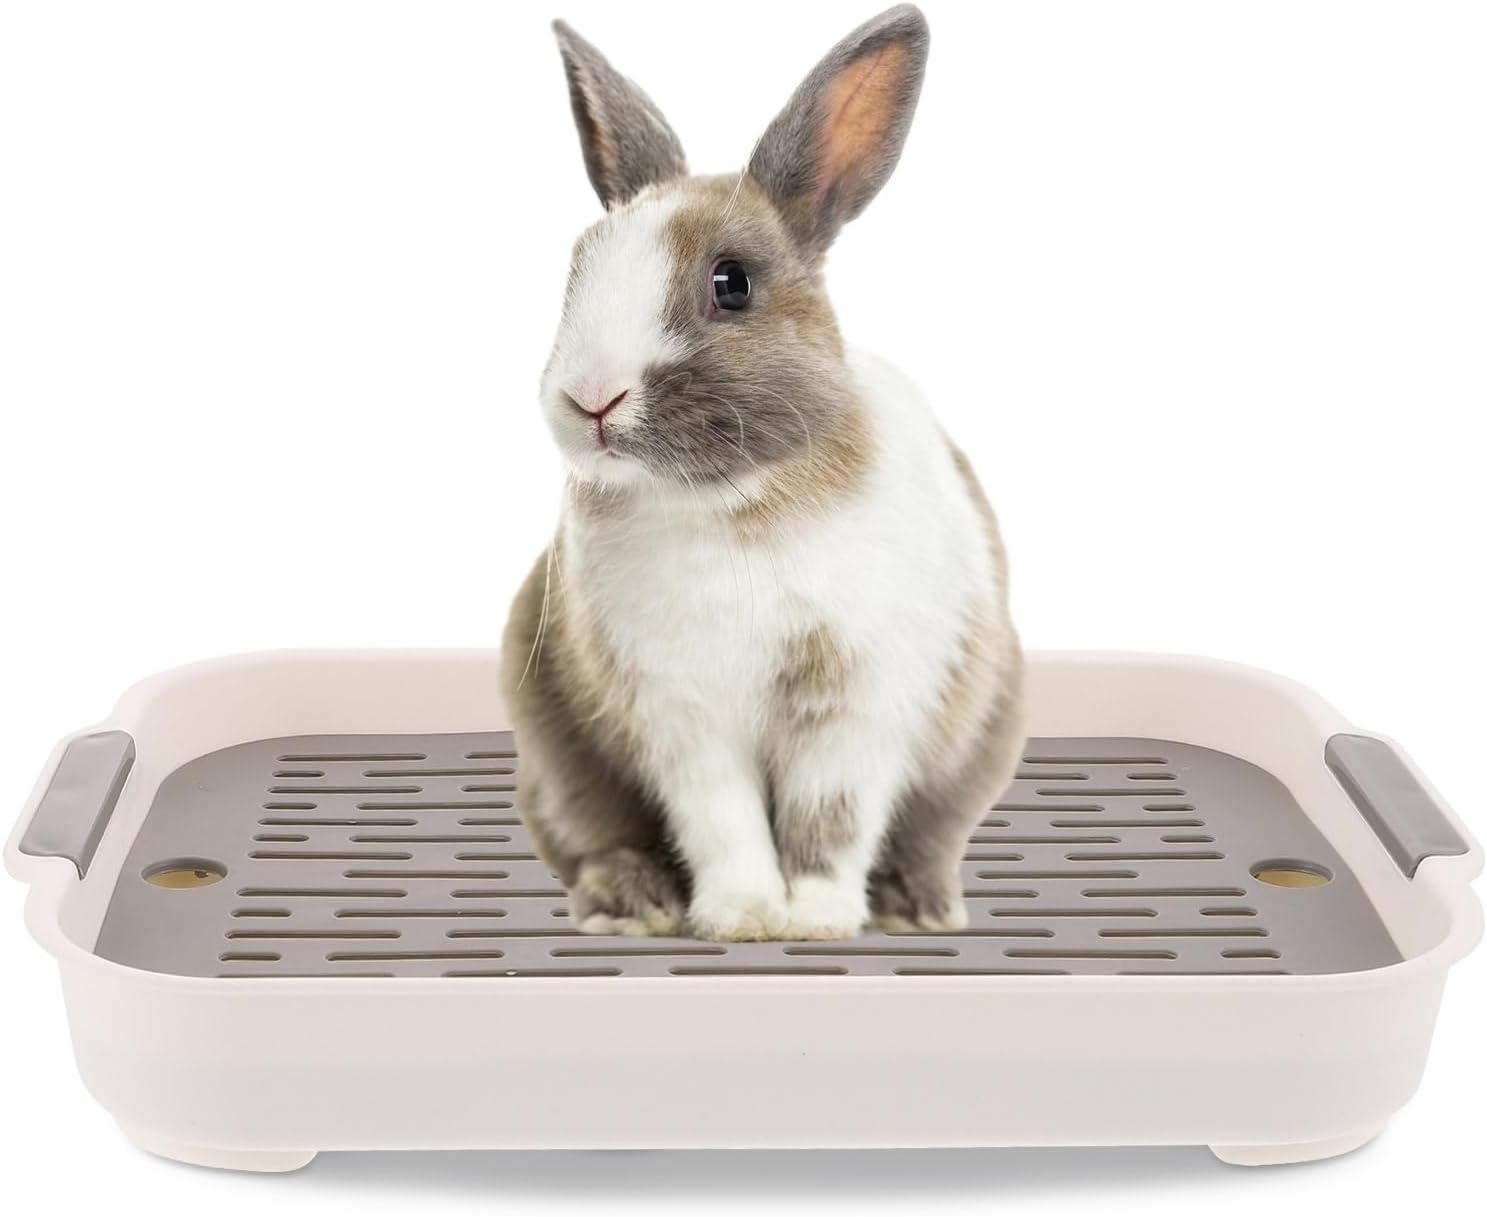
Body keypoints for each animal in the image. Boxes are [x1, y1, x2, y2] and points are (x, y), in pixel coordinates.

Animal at [501, 4, 1024, 942]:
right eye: (577, 270)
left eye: (731, 283)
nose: (590, 399)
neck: (728, 502)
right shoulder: (682, 717)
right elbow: (723, 819)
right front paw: (743, 916)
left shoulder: (854, 706)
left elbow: (830, 818)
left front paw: (814, 919)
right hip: (555, 761)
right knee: (594, 837)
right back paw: (633, 905)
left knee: (930, 834)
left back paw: (918, 908)